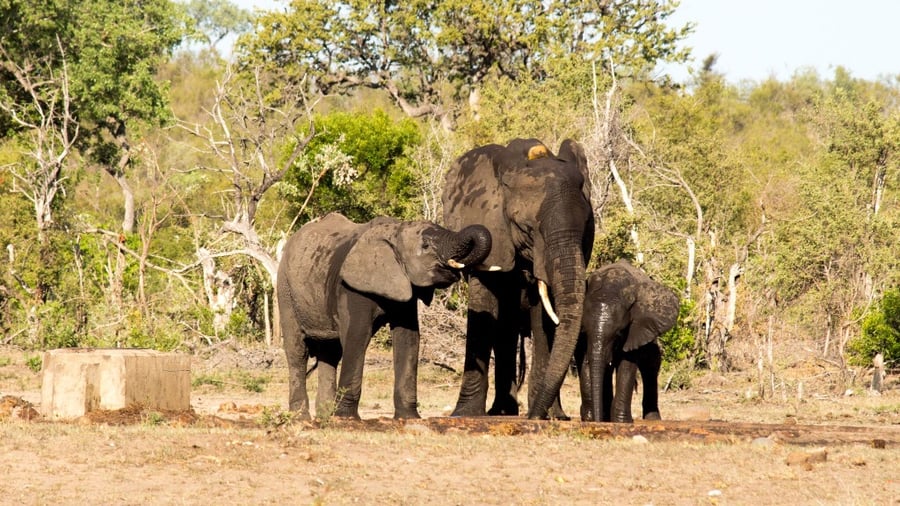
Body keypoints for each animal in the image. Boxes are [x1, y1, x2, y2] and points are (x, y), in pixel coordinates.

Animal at [276, 212, 492, 420]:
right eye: (425, 246)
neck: (395, 231)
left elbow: (408, 338)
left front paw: (409, 418)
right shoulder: (352, 287)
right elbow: (357, 336)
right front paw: (346, 419)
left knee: (330, 353)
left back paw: (324, 418)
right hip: (285, 290)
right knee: (297, 351)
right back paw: (301, 418)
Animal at [443, 138, 594, 419]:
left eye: (586, 230)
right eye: (527, 229)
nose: (533, 415)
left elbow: (543, 318)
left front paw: (546, 416)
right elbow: (484, 306)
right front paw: (465, 414)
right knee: (505, 330)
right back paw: (503, 412)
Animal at [577, 260, 680, 423]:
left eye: (619, 334)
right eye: (585, 331)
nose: (598, 420)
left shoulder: (635, 328)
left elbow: (627, 365)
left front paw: (622, 422)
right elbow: (586, 361)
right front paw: (591, 418)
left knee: (652, 363)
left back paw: (653, 419)